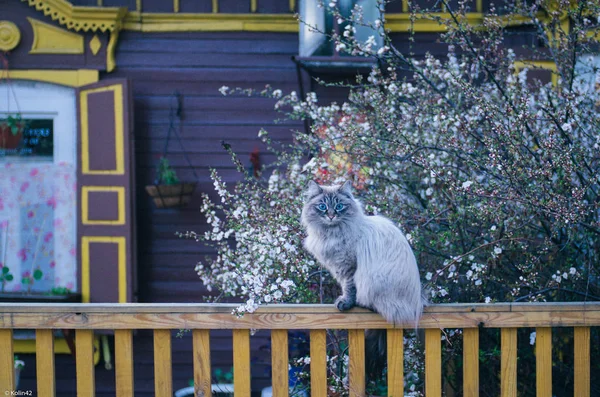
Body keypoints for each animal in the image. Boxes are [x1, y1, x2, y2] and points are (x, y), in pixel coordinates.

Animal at [300, 179, 422, 324]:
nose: (331, 216)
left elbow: (349, 287)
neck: (331, 233)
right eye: (322, 206)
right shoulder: (339, 266)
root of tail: (415, 307)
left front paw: (345, 302)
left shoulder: (348, 266)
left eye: (339, 206)